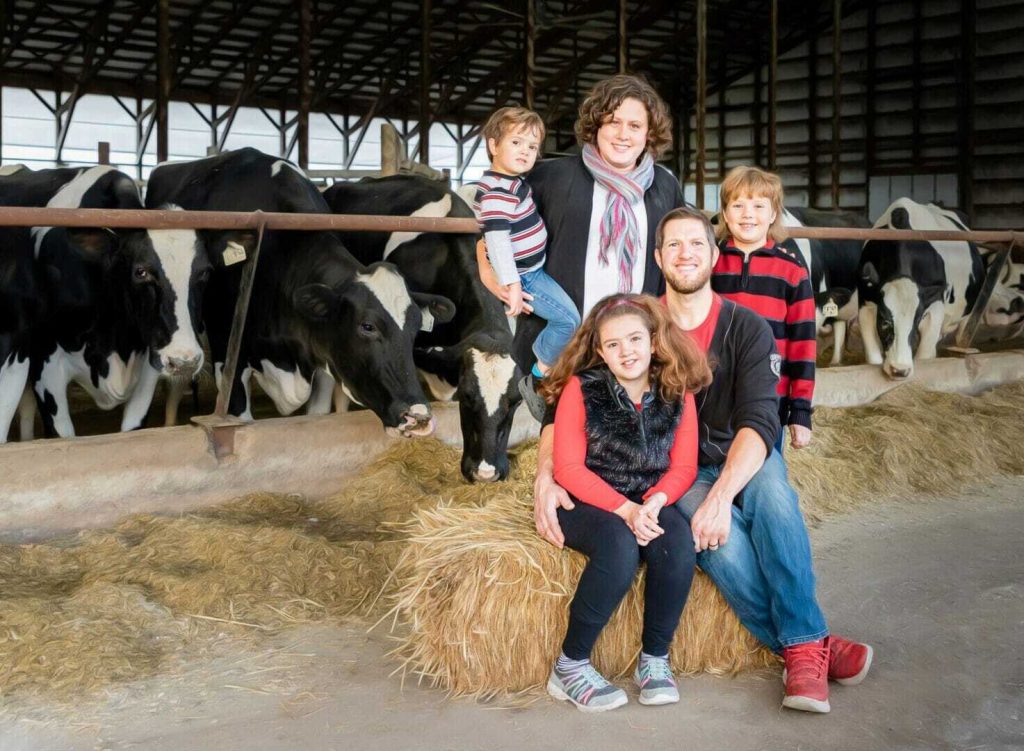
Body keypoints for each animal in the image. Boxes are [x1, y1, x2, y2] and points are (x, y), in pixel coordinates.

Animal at [860, 197, 987, 377]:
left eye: (917, 320)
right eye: (884, 322)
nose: (900, 370)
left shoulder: (935, 306)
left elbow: (926, 358)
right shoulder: (865, 302)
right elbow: (873, 358)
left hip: (970, 312)